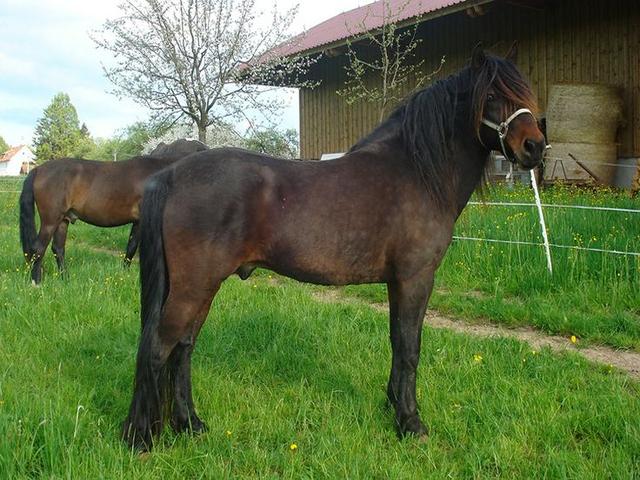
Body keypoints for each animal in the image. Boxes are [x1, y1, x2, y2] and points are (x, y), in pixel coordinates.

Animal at [19, 139, 208, 284]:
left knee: (58, 249)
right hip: (50, 220)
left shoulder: (138, 221)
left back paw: (66, 280)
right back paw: (36, 283)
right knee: (38, 248)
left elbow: (131, 247)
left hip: (63, 221)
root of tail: (39, 169)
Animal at [122, 46, 547, 450]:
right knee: (158, 347)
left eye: (527, 91)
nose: (535, 147)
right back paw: (141, 438)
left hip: (203, 286)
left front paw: (393, 405)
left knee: (183, 348)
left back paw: (189, 424)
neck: (415, 172)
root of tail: (172, 175)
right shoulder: (416, 278)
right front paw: (411, 423)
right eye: (492, 94)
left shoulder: (397, 282)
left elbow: (396, 341)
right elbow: (410, 347)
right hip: (194, 286)